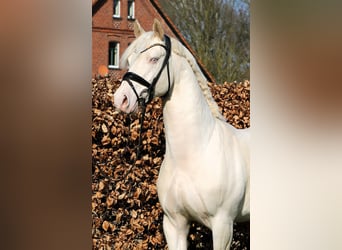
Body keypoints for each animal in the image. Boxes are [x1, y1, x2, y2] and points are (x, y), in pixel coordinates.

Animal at [113, 18, 250, 249]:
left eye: (154, 58)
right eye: (130, 60)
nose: (121, 99)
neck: (193, 155)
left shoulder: (223, 225)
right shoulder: (174, 224)